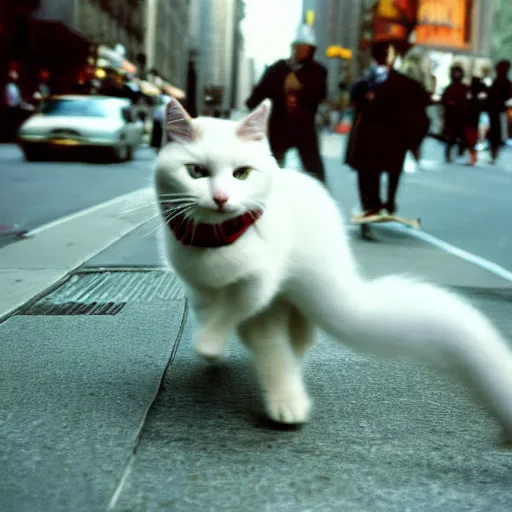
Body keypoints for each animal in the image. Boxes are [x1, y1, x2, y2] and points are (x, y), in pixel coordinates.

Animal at [155, 98, 512, 434]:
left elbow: (236, 306)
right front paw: (213, 340)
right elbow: (211, 306)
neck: (216, 240)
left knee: (288, 339)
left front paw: (211, 343)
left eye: (242, 173)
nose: (221, 198)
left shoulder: (260, 282)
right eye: (196, 172)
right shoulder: (194, 279)